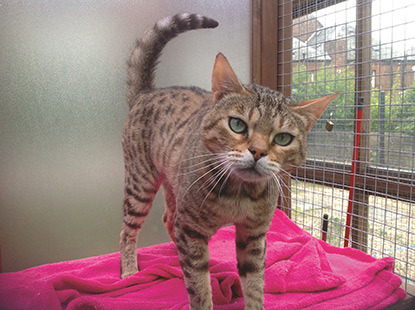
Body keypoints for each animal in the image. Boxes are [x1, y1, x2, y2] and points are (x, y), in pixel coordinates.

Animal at [119, 13, 338, 310]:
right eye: (237, 124)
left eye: (283, 138)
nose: (257, 151)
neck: (239, 194)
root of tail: (146, 92)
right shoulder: (191, 230)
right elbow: (199, 288)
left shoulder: (254, 236)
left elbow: (255, 284)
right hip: (141, 183)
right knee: (128, 230)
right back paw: (129, 271)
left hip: (174, 186)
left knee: (168, 218)